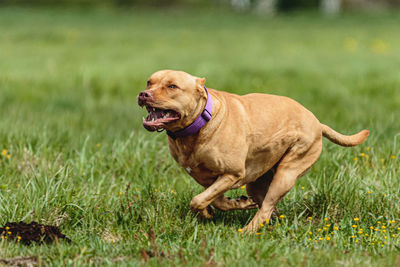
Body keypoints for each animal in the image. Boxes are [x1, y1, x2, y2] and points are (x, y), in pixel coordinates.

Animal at [137, 70, 368, 233]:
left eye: (172, 86)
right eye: (149, 82)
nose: (143, 94)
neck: (201, 122)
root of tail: (318, 123)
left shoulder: (232, 174)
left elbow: (197, 200)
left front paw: (208, 209)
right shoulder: (207, 178)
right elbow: (213, 199)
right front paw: (227, 206)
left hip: (287, 173)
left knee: (266, 209)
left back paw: (246, 232)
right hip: (258, 182)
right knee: (267, 206)